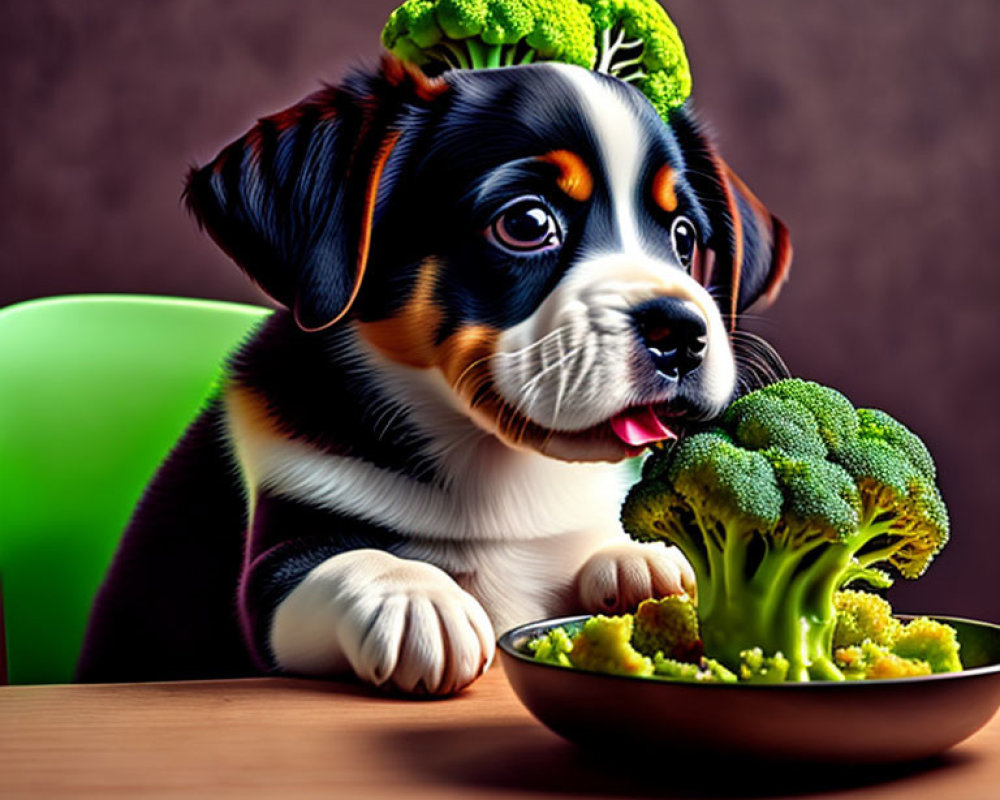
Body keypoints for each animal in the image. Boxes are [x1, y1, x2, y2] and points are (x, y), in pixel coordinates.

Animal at [78, 57, 792, 692]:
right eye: (527, 223)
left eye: (683, 236)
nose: (681, 333)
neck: (497, 473)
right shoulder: (277, 558)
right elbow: (346, 559)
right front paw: (414, 598)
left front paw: (650, 562)